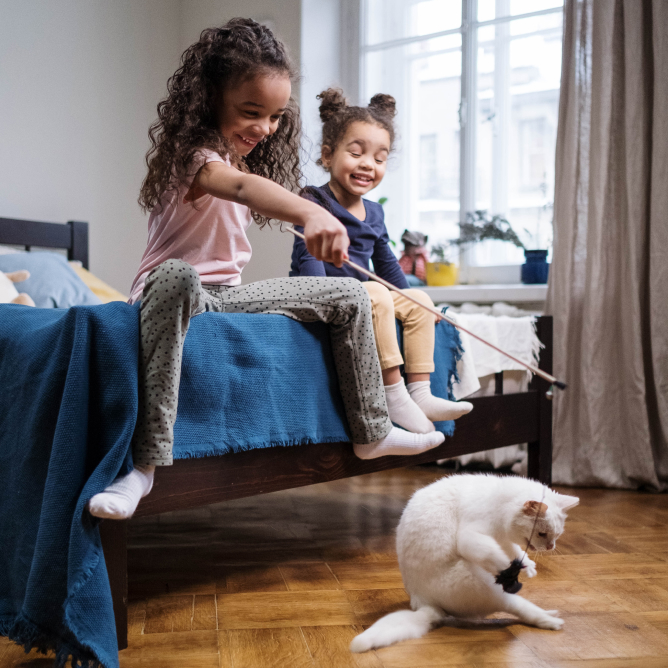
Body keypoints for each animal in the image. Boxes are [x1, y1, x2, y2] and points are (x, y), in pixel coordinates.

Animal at [350, 474, 580, 652]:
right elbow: (496, 555)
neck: (500, 503)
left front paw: (528, 567)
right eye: (542, 534)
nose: (550, 547)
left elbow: (515, 551)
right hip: (485, 587)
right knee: (520, 607)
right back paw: (550, 620)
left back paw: (550, 613)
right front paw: (509, 568)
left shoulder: (503, 540)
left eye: (557, 535)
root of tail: (423, 602)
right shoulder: (470, 537)